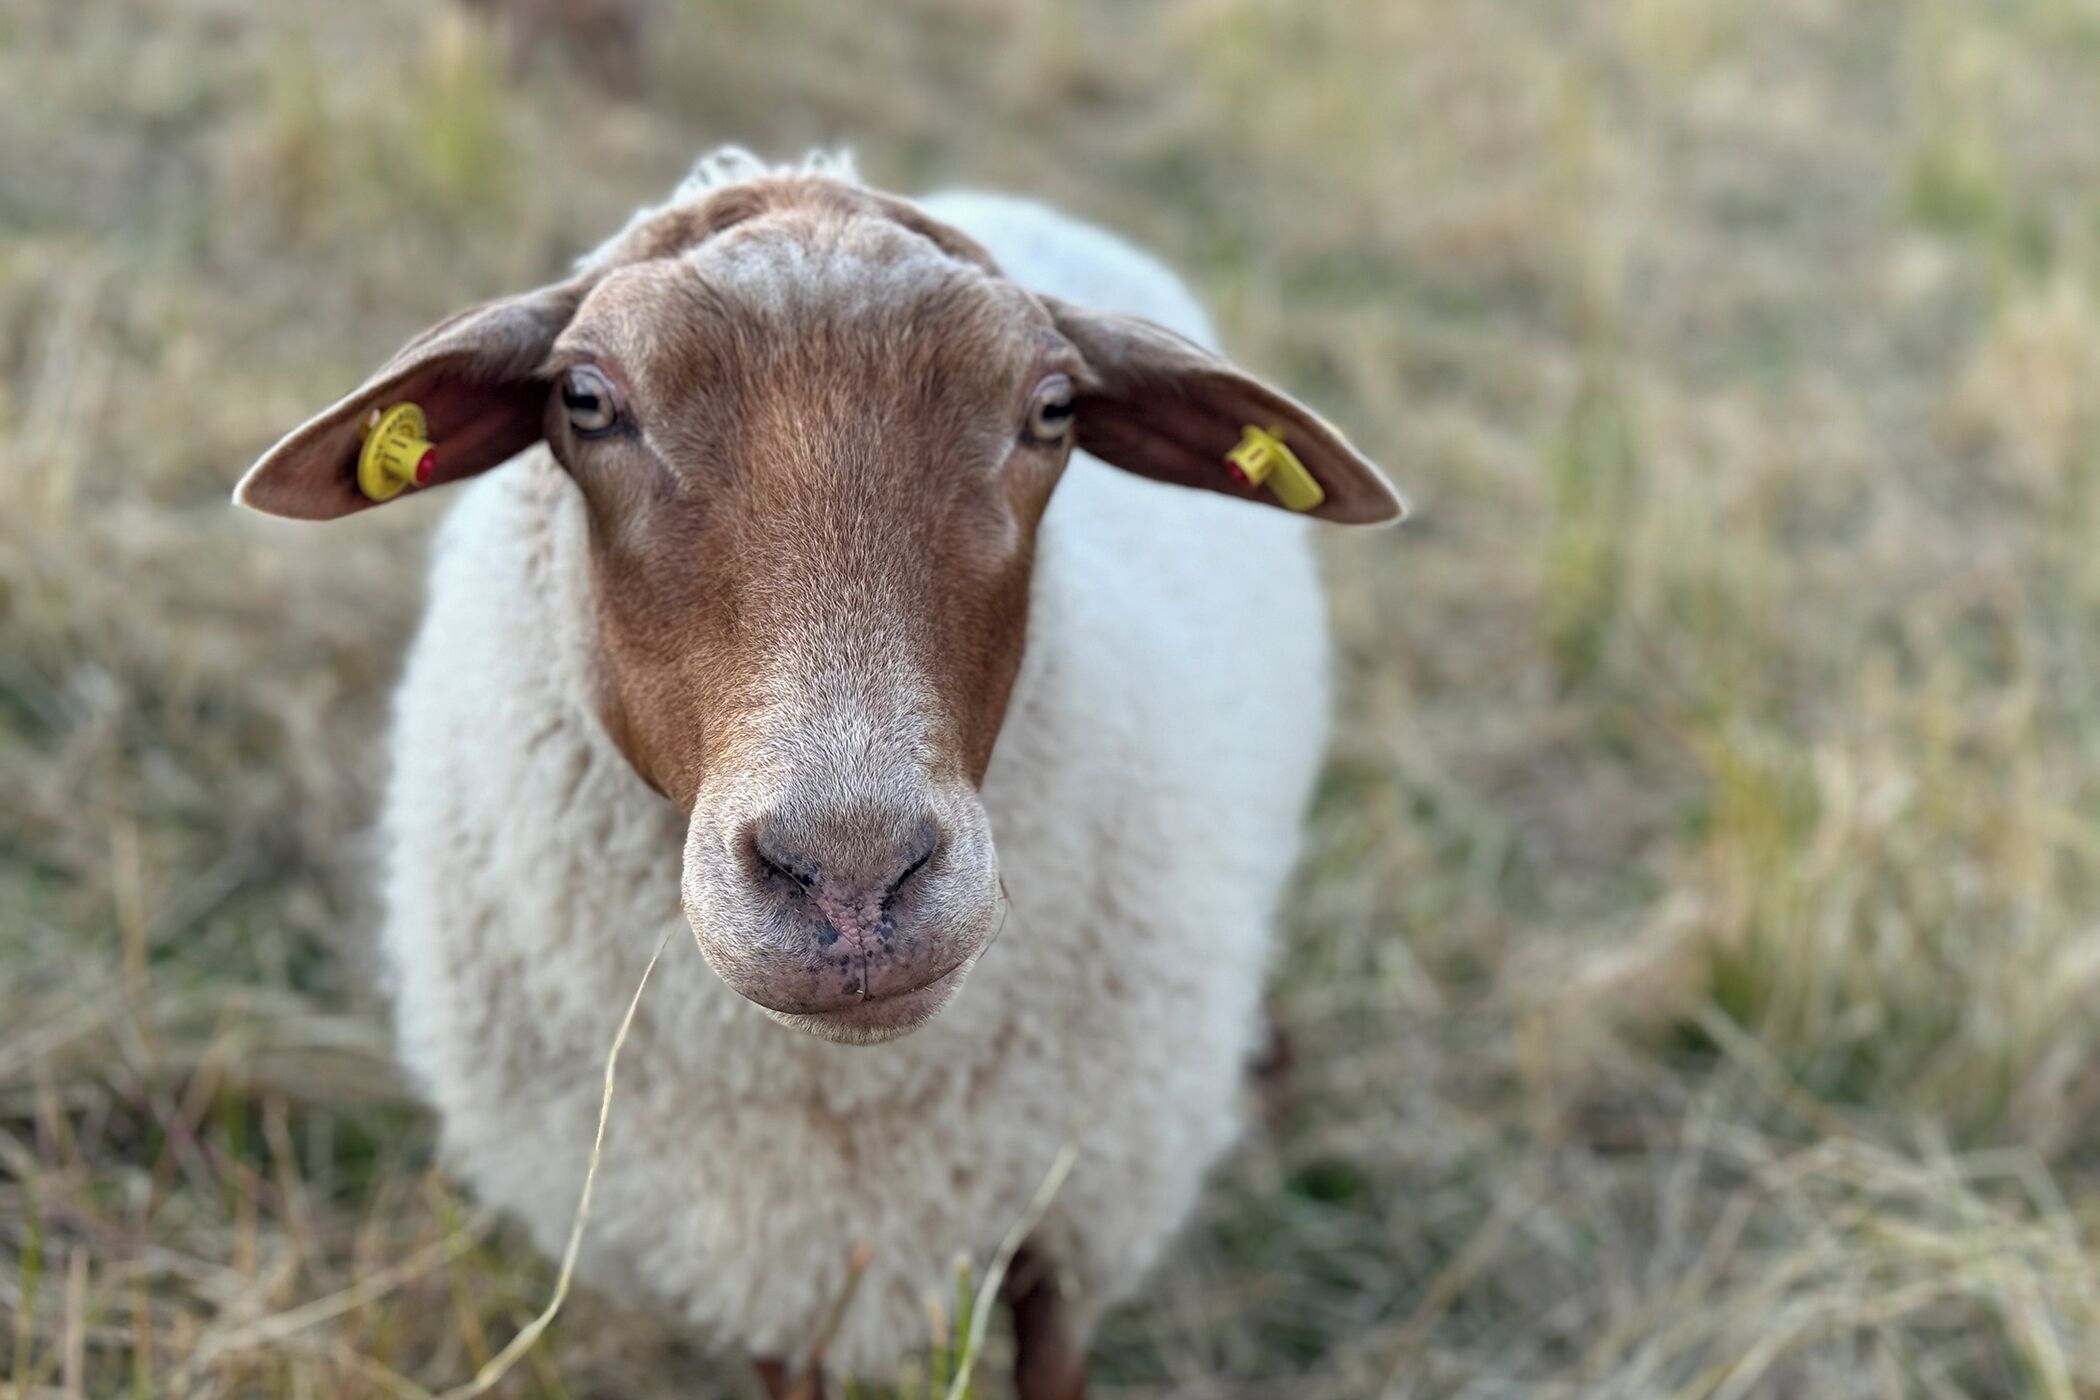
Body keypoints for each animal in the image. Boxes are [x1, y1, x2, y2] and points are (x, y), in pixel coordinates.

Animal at [235, 148, 1403, 1397]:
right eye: (587, 402)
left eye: (1052, 410)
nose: (852, 879)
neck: (844, 1102)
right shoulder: (772, 1272)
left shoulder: (1075, 1220)